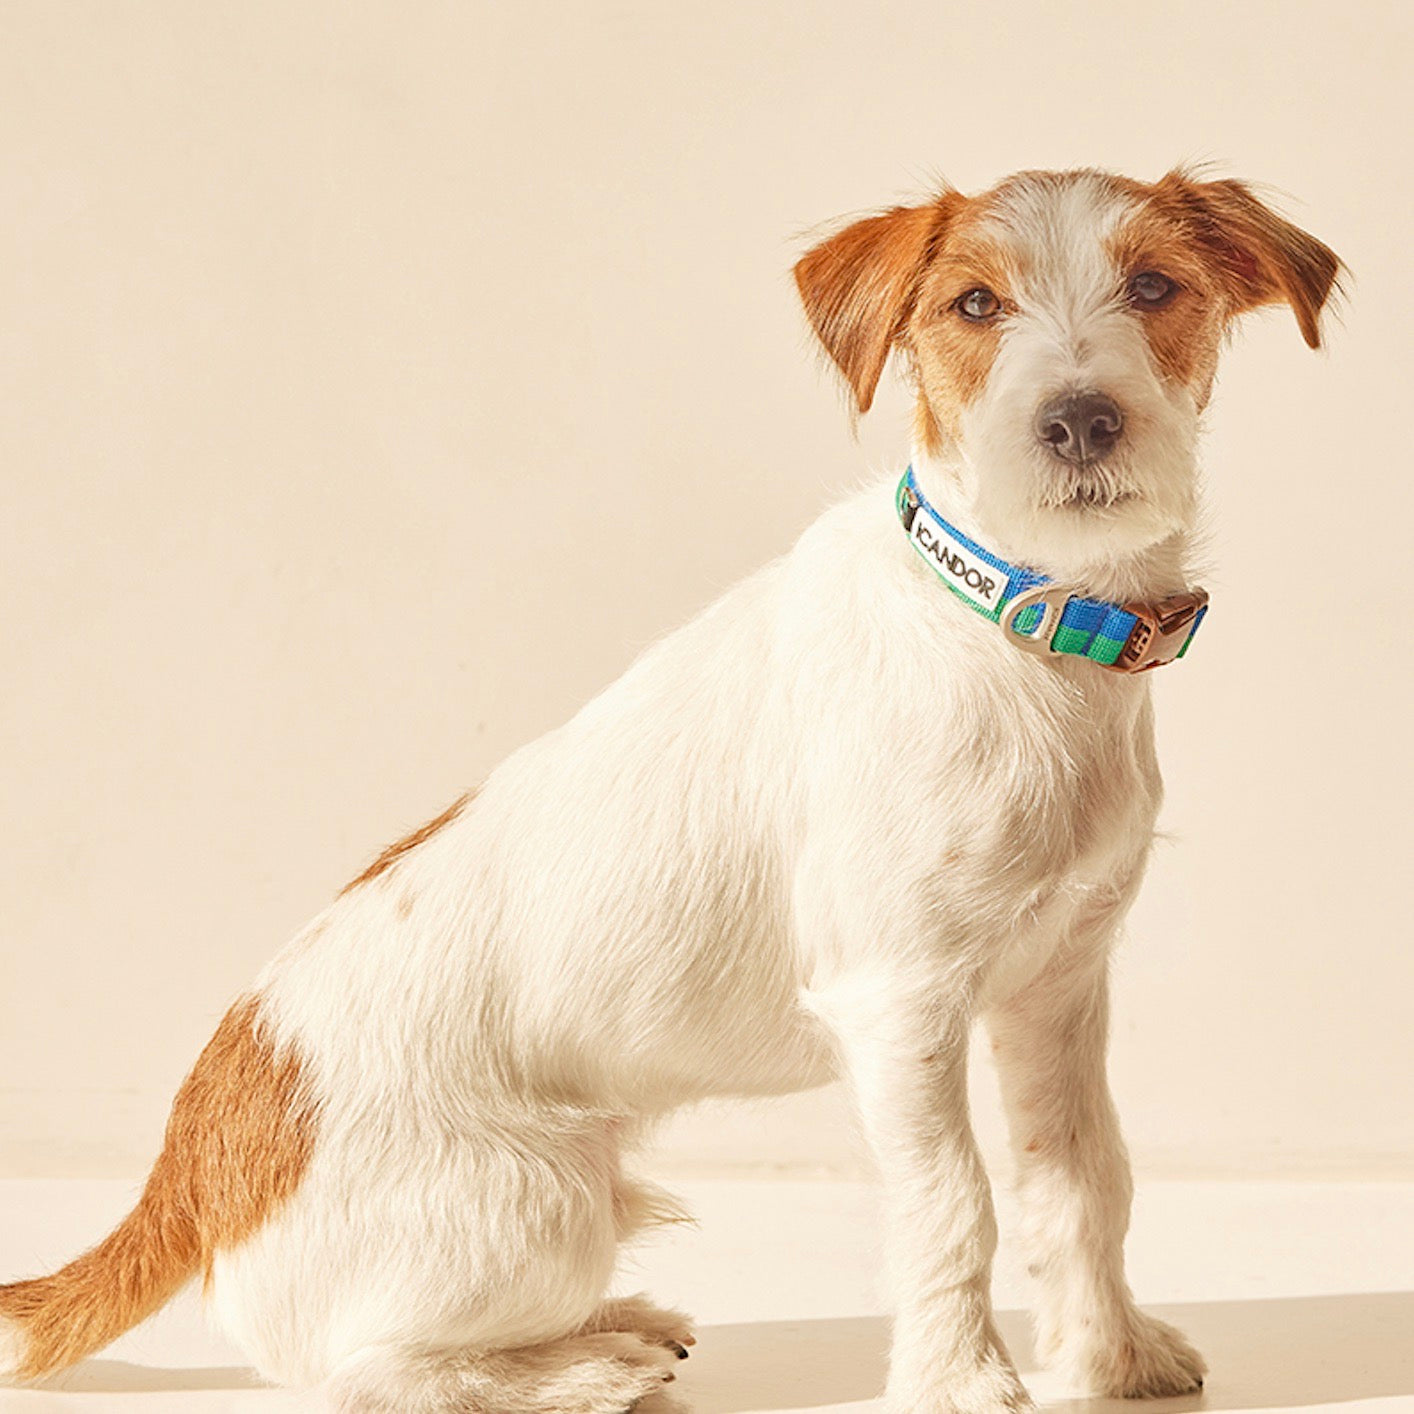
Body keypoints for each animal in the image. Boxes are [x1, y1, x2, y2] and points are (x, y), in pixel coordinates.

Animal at [1, 166, 1341, 1413]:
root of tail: (193, 1155)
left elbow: (1083, 1181)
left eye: (1155, 286)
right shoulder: (898, 1003)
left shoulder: (1056, 984)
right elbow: (953, 1202)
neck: (1024, 628)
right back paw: (583, 1367)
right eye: (973, 304)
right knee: (367, 1370)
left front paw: (1108, 1356)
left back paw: (616, 1322)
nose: (1079, 420)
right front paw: (960, 1378)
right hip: (536, 1202)